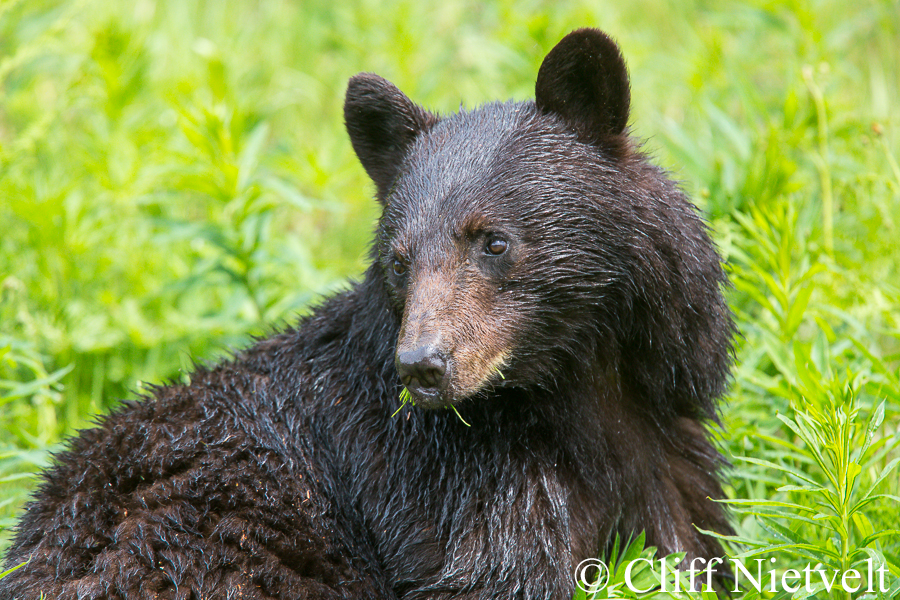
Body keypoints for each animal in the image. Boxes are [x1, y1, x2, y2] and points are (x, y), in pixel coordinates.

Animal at [0, 28, 734, 600]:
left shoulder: (666, 448)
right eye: (399, 261)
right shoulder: (459, 492)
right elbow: (496, 573)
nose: (422, 365)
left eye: (493, 241)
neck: (579, 395)